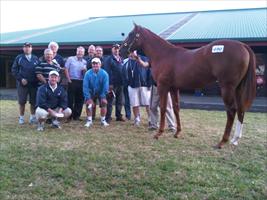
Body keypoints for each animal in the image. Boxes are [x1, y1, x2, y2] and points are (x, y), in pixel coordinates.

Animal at [120, 24, 256, 148]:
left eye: (131, 34)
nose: (120, 50)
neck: (164, 54)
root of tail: (242, 45)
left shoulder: (163, 87)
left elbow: (163, 108)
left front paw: (159, 133)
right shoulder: (174, 88)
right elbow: (176, 108)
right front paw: (177, 133)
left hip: (227, 88)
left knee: (231, 111)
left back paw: (222, 141)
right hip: (238, 89)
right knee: (241, 110)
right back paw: (235, 139)